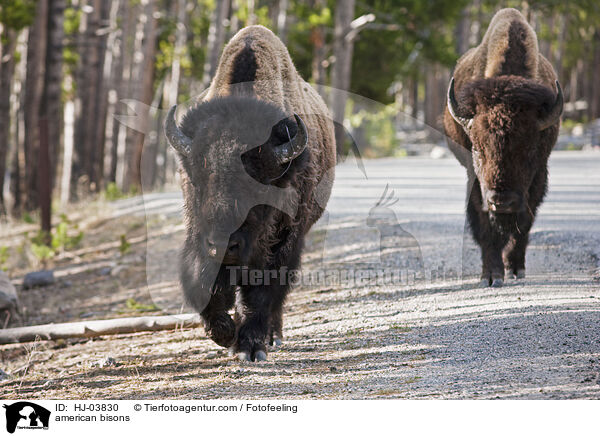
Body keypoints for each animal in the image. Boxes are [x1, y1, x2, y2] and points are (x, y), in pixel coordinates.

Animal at [163, 26, 338, 362]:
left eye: (258, 184)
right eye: (198, 180)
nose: (223, 244)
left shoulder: (283, 241)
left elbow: (263, 291)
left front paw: (249, 346)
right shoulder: (198, 234)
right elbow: (206, 280)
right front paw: (224, 333)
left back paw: (272, 336)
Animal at [440, 8, 564, 288]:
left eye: (530, 149)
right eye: (477, 148)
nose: (502, 200)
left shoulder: (538, 175)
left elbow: (525, 222)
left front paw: (515, 268)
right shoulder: (476, 182)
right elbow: (485, 226)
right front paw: (491, 275)